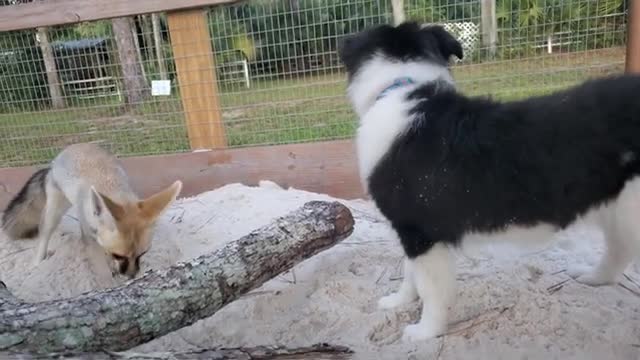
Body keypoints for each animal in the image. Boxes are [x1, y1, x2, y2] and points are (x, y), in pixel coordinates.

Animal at [1, 143, 181, 278]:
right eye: (118, 255)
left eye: (142, 254)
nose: (131, 277)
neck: (111, 186)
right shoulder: (89, 239)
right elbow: (103, 272)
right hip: (54, 213)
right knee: (43, 235)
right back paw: (37, 263)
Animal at [340, 21, 640, 340]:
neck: (403, 87)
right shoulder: (411, 231)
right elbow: (411, 274)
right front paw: (399, 302)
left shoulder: (421, 231)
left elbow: (431, 288)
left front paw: (425, 332)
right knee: (620, 249)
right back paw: (593, 277)